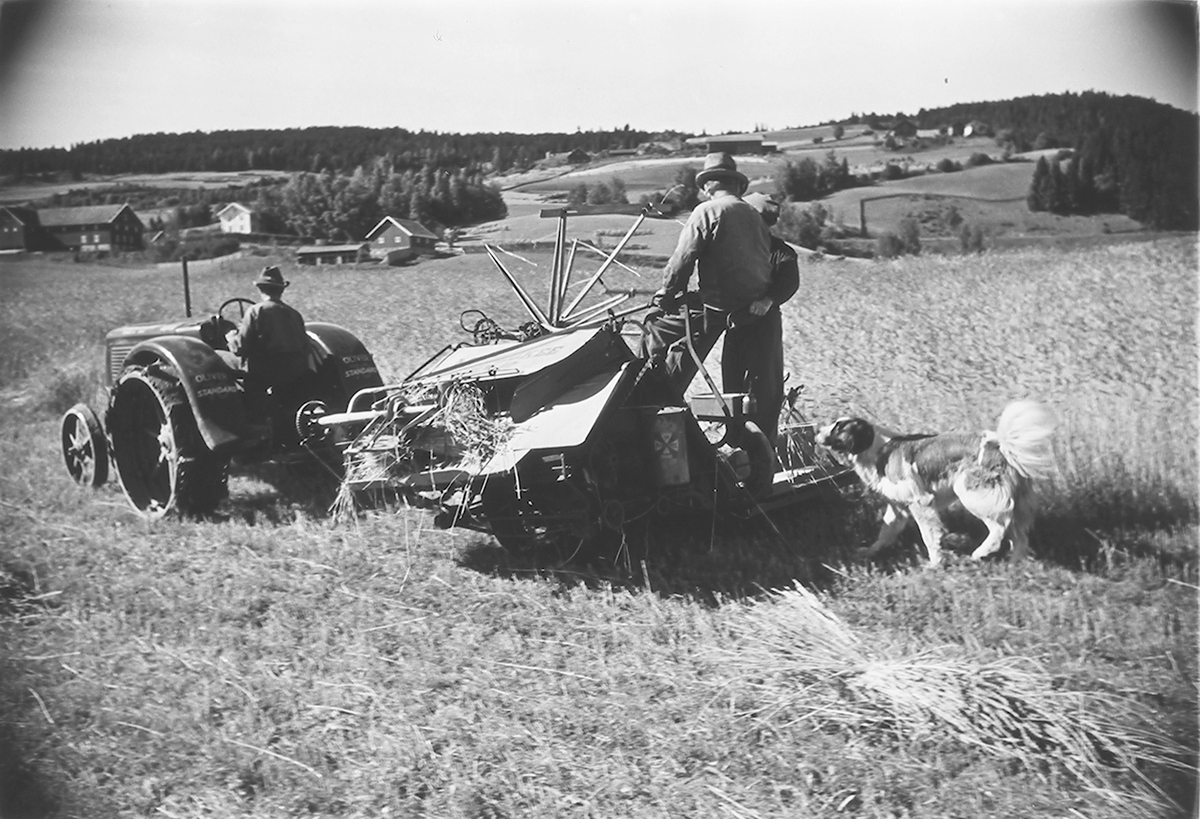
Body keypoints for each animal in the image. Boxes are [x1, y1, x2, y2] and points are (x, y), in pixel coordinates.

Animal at [816, 401, 1060, 564]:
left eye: (838, 427)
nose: (817, 430)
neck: (876, 449)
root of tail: (1000, 444)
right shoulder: (897, 508)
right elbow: (884, 533)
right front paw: (868, 552)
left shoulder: (920, 502)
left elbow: (929, 536)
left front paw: (934, 563)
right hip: (1017, 501)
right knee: (1020, 536)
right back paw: (1014, 564)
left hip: (972, 493)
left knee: (1000, 527)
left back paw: (979, 553)